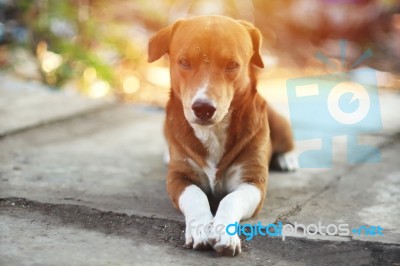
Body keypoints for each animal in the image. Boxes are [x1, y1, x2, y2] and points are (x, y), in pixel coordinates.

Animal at [148, 15, 296, 256]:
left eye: (233, 65)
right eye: (184, 62)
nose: (203, 108)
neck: (213, 131)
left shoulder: (253, 181)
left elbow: (231, 199)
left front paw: (223, 233)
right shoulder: (178, 178)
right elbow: (195, 196)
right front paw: (200, 228)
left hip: (279, 122)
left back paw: (288, 158)